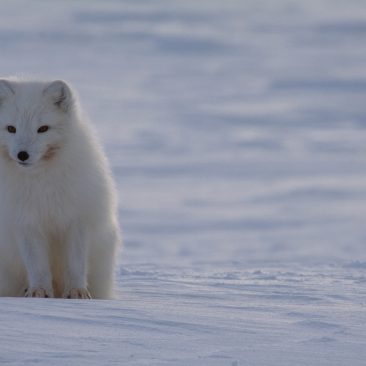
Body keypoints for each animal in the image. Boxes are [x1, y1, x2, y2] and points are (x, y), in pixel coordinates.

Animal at [0, 78, 121, 298]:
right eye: (11, 128)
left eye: (43, 129)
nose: (22, 155)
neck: (41, 181)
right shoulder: (25, 222)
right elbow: (37, 266)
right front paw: (39, 292)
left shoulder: (77, 221)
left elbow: (75, 264)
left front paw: (77, 293)